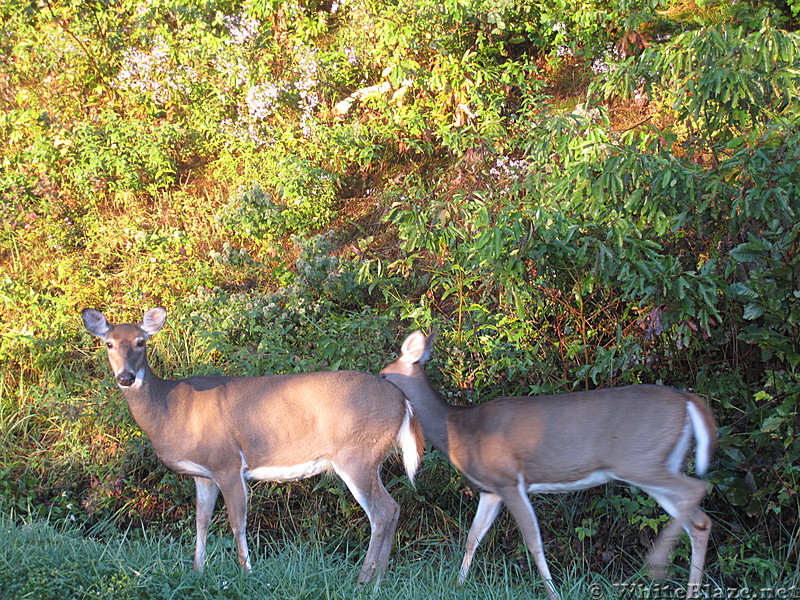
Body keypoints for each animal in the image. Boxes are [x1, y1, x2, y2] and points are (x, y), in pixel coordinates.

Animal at [81, 304, 424, 580]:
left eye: (141, 342)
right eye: (109, 343)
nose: (125, 377)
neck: (171, 409)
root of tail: (403, 401)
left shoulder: (228, 462)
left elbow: (237, 521)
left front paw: (246, 572)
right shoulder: (203, 474)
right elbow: (202, 521)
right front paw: (197, 570)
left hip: (357, 454)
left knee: (382, 512)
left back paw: (363, 580)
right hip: (370, 458)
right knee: (393, 508)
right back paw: (379, 580)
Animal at [378, 330, 716, 596]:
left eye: (383, 374)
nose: (374, 380)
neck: (459, 429)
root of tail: (689, 400)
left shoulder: (510, 480)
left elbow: (533, 541)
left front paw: (553, 592)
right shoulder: (491, 490)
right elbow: (473, 537)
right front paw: (457, 585)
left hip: (641, 461)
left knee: (699, 489)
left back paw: (657, 565)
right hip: (658, 463)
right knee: (698, 521)